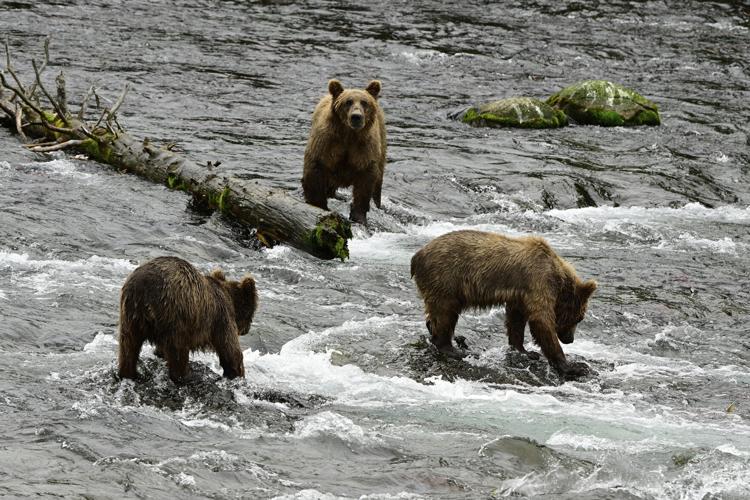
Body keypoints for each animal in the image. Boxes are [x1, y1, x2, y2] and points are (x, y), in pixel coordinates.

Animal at [117, 256, 258, 383]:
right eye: (252, 311)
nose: (246, 330)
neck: (231, 301)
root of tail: (144, 290)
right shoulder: (221, 317)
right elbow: (230, 350)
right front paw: (237, 374)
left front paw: (159, 353)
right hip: (177, 313)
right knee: (179, 351)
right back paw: (186, 376)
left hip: (130, 313)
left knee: (128, 346)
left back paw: (128, 374)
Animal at [302, 79, 387, 225]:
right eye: (348, 102)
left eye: (364, 102)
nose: (356, 117)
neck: (349, 135)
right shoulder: (327, 144)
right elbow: (315, 169)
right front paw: (318, 205)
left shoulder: (364, 149)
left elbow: (365, 182)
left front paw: (359, 216)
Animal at [410, 230, 597, 380]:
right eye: (580, 318)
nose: (570, 339)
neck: (558, 278)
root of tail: (416, 256)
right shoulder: (538, 282)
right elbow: (541, 320)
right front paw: (574, 367)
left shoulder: (520, 295)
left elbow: (516, 320)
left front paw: (526, 351)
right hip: (446, 279)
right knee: (446, 313)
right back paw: (453, 349)